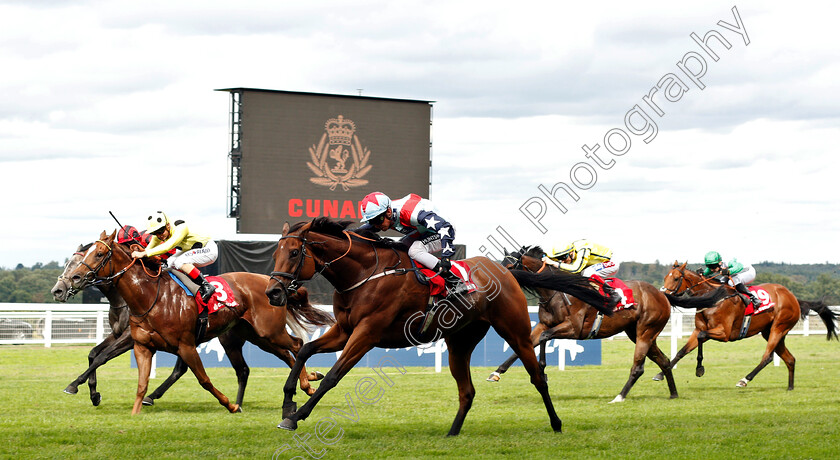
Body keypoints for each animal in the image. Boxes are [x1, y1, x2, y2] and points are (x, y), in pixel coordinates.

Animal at [64, 230, 334, 414]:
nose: (71, 280)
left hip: (269, 332)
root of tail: (272, 284)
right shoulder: (141, 342)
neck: (150, 295)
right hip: (250, 336)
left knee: (297, 345)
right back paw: (302, 383)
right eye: (79, 257)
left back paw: (307, 383)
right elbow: (117, 367)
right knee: (269, 361)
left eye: (99, 254)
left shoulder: (179, 343)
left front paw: (77, 386)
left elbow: (202, 378)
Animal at [264, 218, 616, 434]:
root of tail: (505, 272)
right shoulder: (345, 330)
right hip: (459, 342)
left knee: (537, 376)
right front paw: (288, 403)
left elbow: (333, 376)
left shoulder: (367, 333)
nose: (273, 292)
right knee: (467, 391)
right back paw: (452, 432)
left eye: (293, 252)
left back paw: (556, 423)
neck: (365, 273)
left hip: (515, 331)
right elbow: (304, 351)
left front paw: (296, 417)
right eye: (275, 252)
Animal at [488, 244, 680, 402]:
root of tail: (662, 294)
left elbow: (544, 337)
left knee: (638, 367)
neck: (557, 290)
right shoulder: (544, 324)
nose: (498, 284)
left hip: (645, 331)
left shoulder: (574, 328)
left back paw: (619, 397)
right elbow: (528, 343)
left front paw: (542, 370)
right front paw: (496, 373)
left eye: (510, 267)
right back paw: (673, 394)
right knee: (663, 360)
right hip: (638, 333)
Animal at [660, 262, 836, 388]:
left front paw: (699, 369)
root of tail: (793, 297)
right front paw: (662, 373)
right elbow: (683, 351)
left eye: (675, 278)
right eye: (665, 277)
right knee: (790, 359)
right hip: (771, 332)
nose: (664, 295)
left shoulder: (723, 333)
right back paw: (790, 388)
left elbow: (702, 338)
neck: (713, 298)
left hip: (778, 327)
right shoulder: (699, 329)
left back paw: (744, 380)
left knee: (767, 357)